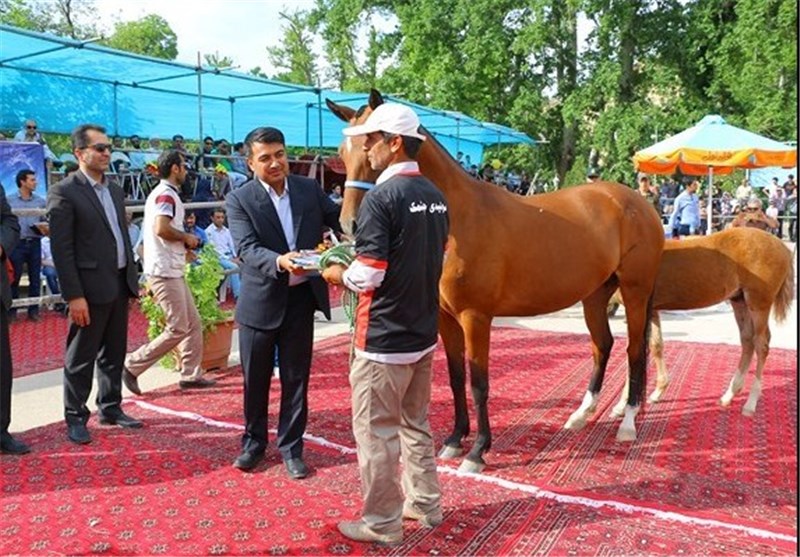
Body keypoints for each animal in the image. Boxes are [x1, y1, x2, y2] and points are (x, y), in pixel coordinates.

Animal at [322, 90, 664, 470]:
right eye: (341, 154)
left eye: (370, 149)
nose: (351, 225)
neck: (457, 217)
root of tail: (636, 202)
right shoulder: (445, 318)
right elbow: (456, 377)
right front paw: (455, 439)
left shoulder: (476, 317)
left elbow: (479, 384)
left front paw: (477, 450)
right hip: (594, 293)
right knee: (602, 345)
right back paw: (580, 415)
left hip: (635, 292)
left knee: (634, 349)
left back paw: (628, 422)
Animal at [612, 227, 792, 416]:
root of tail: (784, 248)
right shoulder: (652, 310)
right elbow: (656, 345)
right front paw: (658, 391)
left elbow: (635, 352)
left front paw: (621, 405)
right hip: (739, 301)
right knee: (747, 340)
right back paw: (729, 394)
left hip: (758, 304)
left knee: (761, 345)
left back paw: (750, 403)